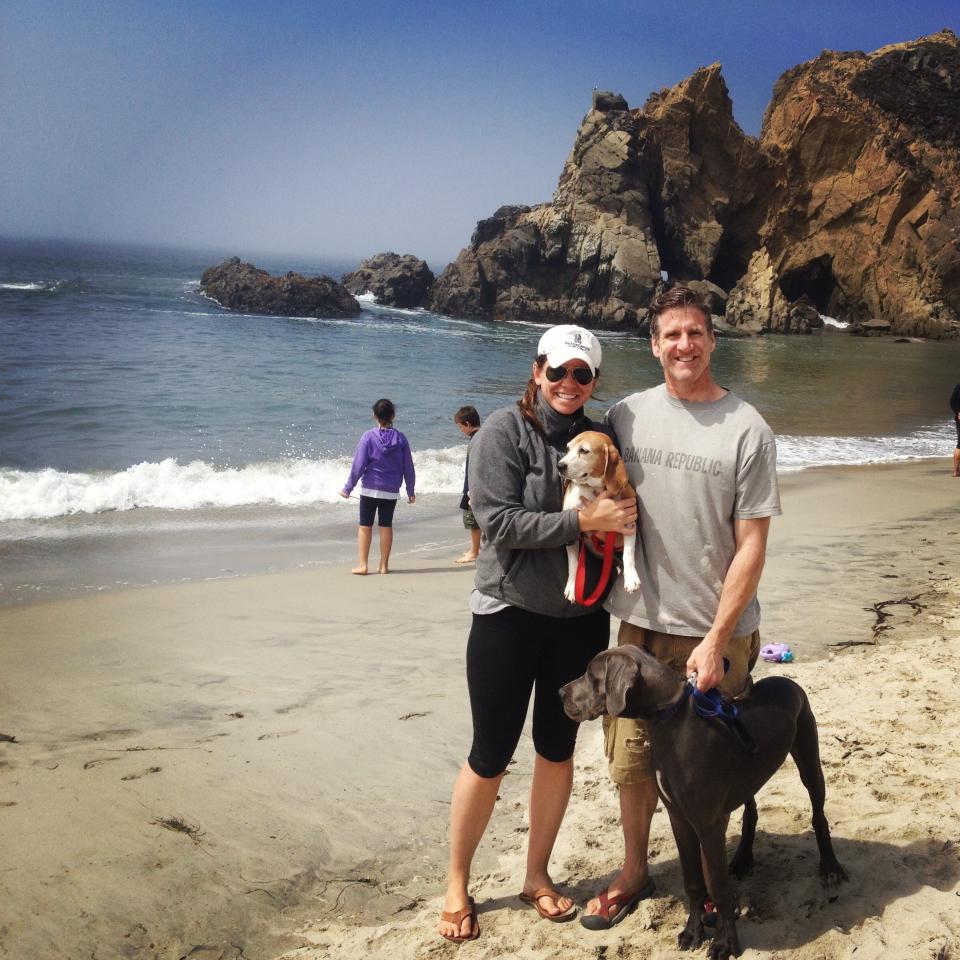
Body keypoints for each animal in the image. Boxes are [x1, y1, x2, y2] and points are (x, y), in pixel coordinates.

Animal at [556, 432, 636, 604]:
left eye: (584, 451)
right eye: (568, 448)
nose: (559, 466)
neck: (596, 489)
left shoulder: (629, 523)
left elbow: (628, 553)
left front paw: (631, 577)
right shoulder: (572, 534)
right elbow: (573, 563)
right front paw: (572, 586)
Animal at [564, 644, 848, 960]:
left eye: (591, 675)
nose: (561, 692)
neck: (669, 720)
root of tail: (788, 681)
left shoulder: (709, 825)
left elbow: (719, 888)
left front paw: (726, 943)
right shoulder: (679, 818)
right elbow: (694, 882)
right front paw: (693, 932)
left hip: (809, 758)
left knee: (819, 815)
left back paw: (830, 867)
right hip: (748, 779)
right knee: (751, 814)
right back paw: (742, 859)